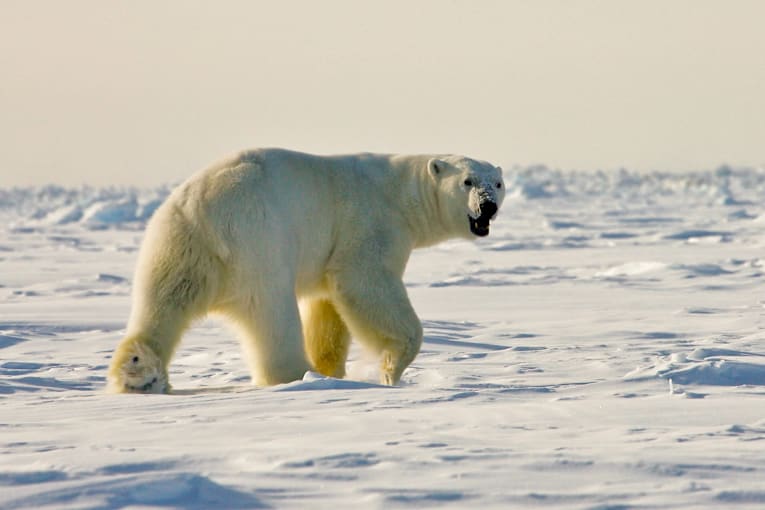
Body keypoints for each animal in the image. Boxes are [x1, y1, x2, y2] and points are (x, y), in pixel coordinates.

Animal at [107, 148, 505, 393]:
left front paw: (331, 370)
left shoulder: (329, 254)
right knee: (272, 312)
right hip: (259, 239)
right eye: (468, 181)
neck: (400, 192)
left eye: (497, 183)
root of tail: (202, 208)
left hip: (176, 244)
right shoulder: (369, 225)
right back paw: (295, 374)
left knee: (163, 302)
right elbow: (367, 282)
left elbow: (329, 306)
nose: (488, 206)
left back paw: (139, 372)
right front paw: (391, 368)